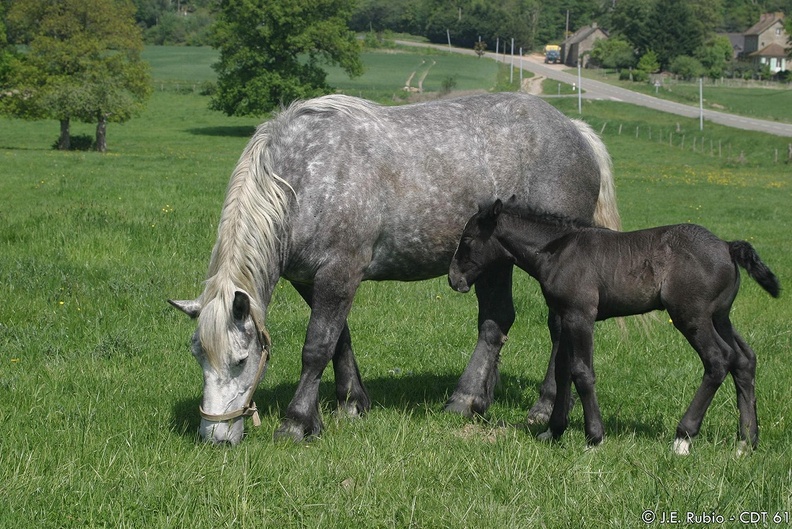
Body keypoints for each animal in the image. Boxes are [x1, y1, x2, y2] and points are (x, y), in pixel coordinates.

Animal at [170, 93, 620, 444]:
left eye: (241, 360)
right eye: (198, 356)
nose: (214, 437)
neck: (306, 179)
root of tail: (576, 129)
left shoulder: (339, 274)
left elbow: (317, 347)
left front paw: (296, 423)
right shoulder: (312, 281)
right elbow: (340, 341)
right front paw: (349, 404)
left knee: (557, 331)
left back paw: (543, 408)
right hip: (492, 263)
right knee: (496, 322)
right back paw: (468, 400)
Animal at [448, 196, 784, 452]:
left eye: (468, 239)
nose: (454, 279)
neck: (558, 250)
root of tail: (728, 246)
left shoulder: (581, 316)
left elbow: (582, 372)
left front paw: (594, 438)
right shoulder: (565, 317)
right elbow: (563, 370)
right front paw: (553, 431)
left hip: (692, 316)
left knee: (719, 360)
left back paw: (683, 437)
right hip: (720, 316)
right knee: (744, 359)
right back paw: (746, 441)